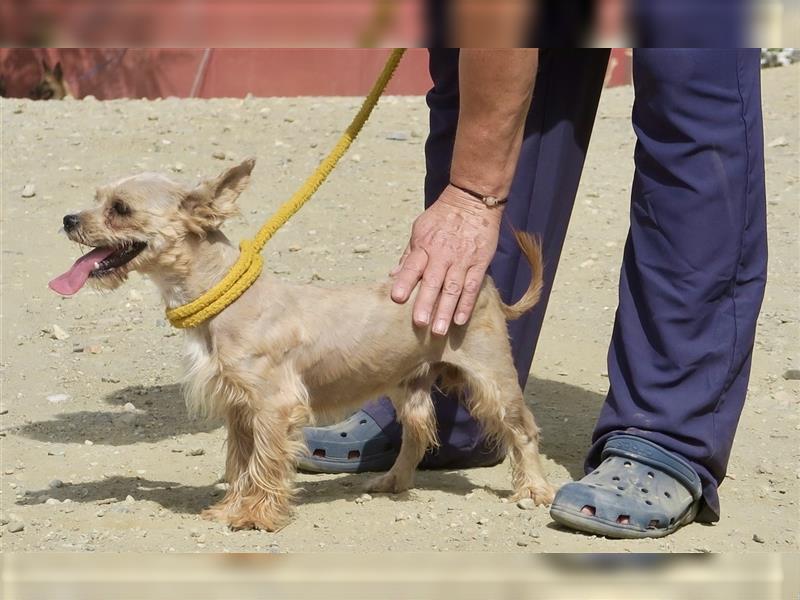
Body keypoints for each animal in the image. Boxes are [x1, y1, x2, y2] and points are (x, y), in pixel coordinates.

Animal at [47, 159, 552, 528]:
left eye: (121, 208)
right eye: (97, 198)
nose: (68, 220)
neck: (227, 300)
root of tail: (486, 286)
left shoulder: (273, 407)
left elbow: (265, 464)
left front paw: (256, 516)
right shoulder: (240, 409)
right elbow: (241, 463)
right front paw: (231, 508)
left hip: (491, 379)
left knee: (523, 431)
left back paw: (534, 490)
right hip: (408, 385)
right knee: (418, 433)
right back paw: (393, 481)